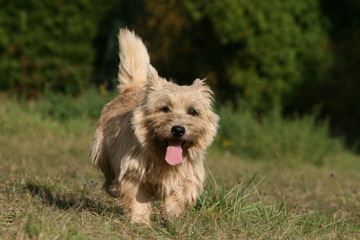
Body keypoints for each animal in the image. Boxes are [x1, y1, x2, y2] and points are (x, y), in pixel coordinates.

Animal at [91, 28, 218, 225]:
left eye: (193, 111)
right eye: (165, 108)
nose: (178, 129)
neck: (163, 158)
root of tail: (133, 89)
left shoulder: (191, 175)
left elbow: (183, 193)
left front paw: (171, 216)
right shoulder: (133, 172)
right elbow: (138, 198)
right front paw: (140, 221)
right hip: (102, 150)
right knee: (108, 172)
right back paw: (112, 187)